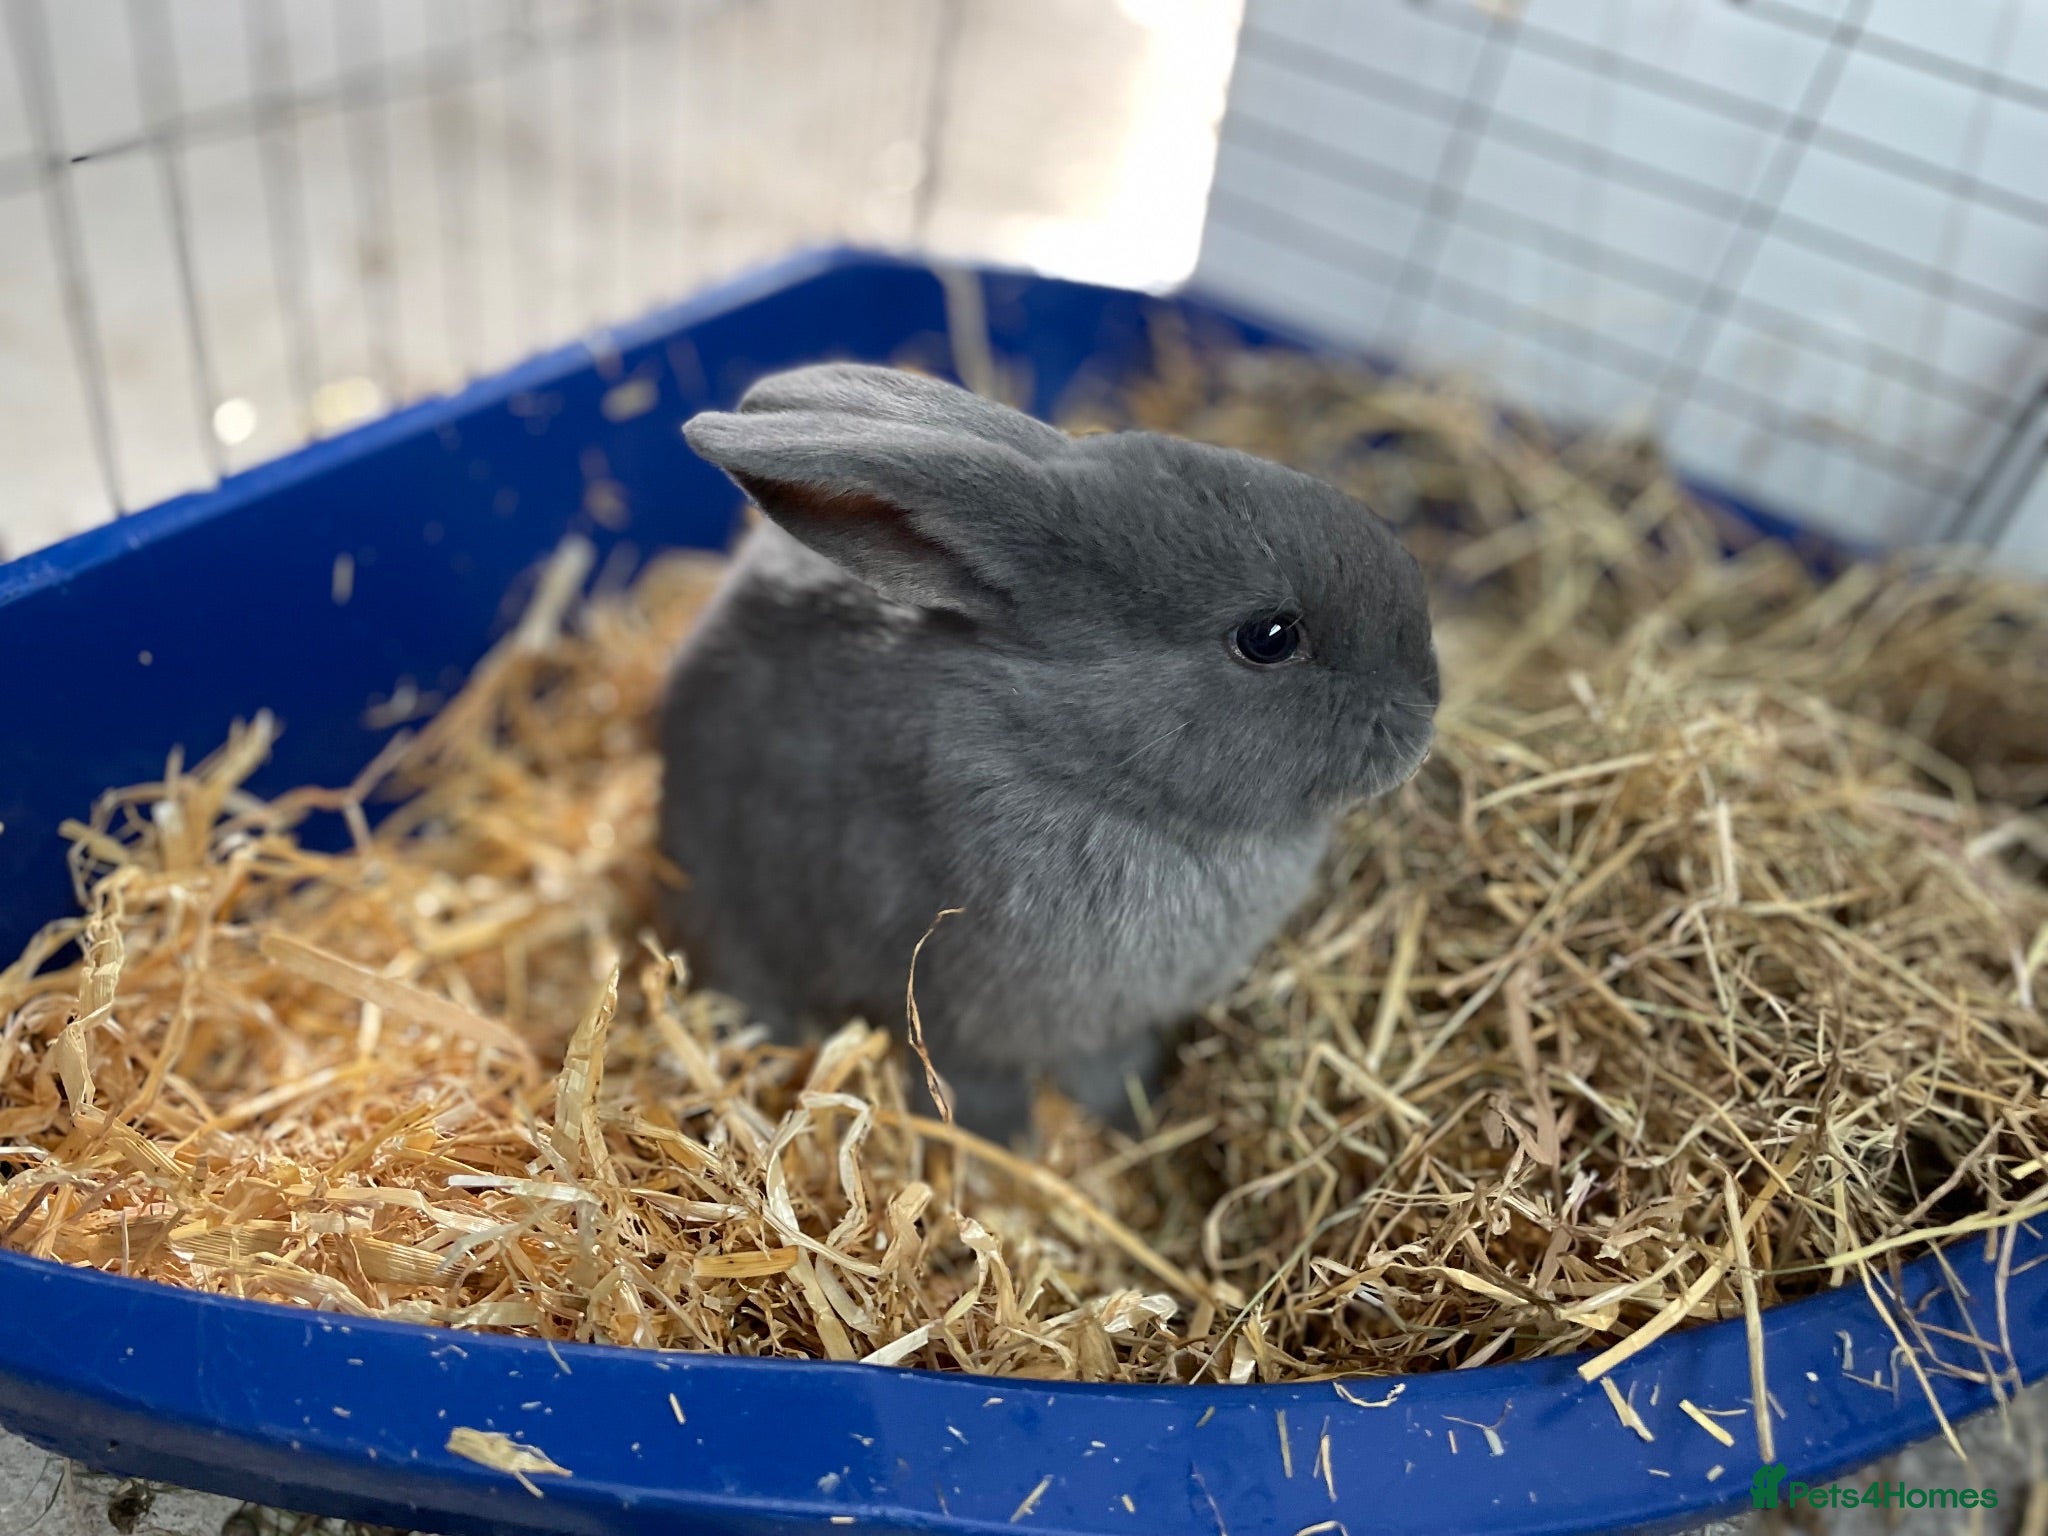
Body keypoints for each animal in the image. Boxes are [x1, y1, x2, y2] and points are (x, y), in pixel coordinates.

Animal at [658, 362, 1438, 1144]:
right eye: (1269, 638)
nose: (1427, 708)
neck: (1079, 766)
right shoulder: (960, 1022)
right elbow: (977, 1092)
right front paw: (1002, 1148)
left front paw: (1135, 1120)